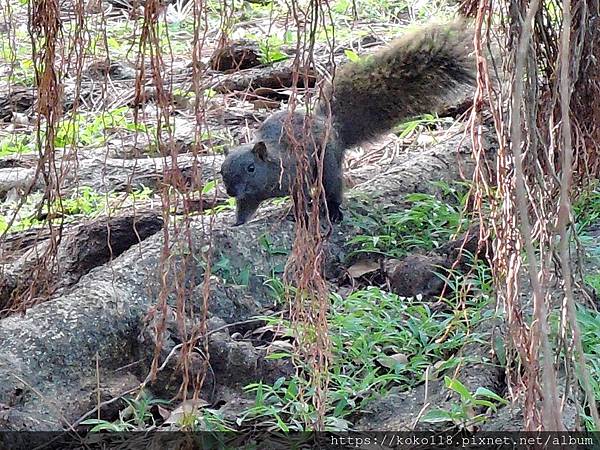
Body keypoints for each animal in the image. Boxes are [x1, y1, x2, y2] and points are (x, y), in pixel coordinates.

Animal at [218, 20, 476, 225]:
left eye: (251, 168)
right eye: (221, 171)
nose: (230, 191)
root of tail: (329, 125)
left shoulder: (297, 172)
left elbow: (302, 195)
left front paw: (299, 212)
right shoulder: (248, 197)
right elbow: (244, 210)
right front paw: (237, 224)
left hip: (328, 163)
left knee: (332, 189)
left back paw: (333, 212)